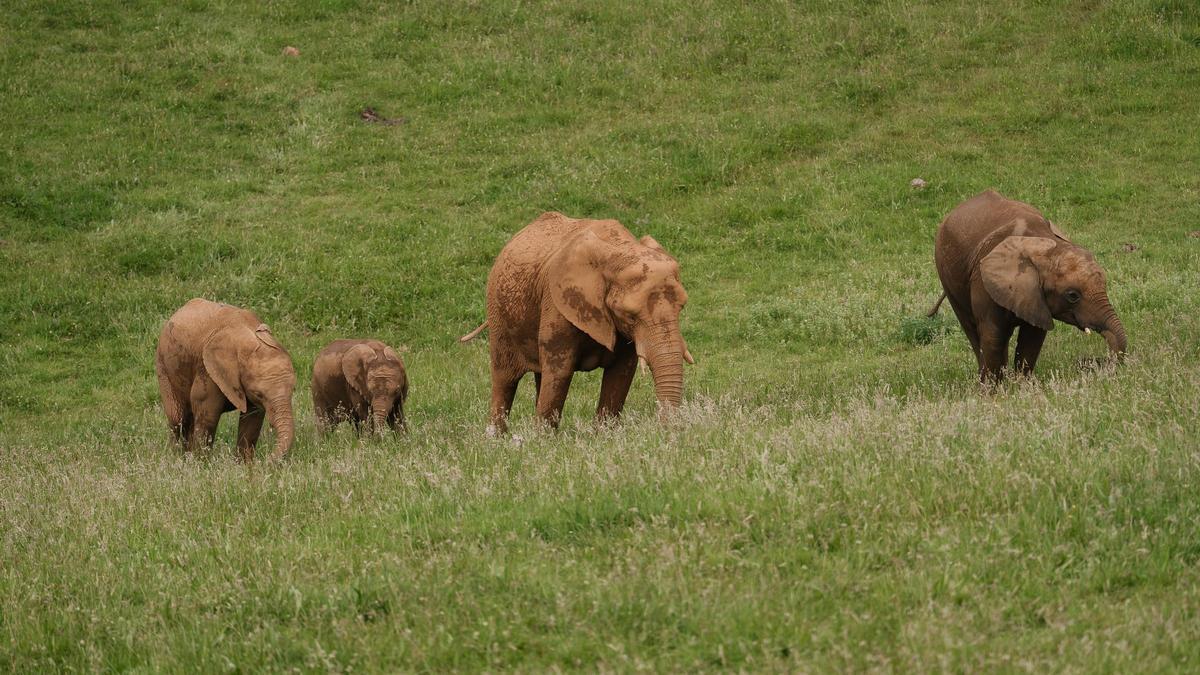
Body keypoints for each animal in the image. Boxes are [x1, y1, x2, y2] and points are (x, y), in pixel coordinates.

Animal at [154, 296, 297, 458]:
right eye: (259, 394)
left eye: (292, 390)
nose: (267, 457)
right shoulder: (208, 370)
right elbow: (208, 417)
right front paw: (201, 462)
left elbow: (252, 420)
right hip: (164, 364)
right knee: (178, 419)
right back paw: (178, 458)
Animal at [460, 210, 700, 429]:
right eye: (630, 315)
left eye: (681, 307)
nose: (665, 427)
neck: (617, 249)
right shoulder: (557, 302)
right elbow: (560, 370)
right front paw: (543, 441)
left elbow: (621, 372)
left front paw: (604, 435)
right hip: (498, 313)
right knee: (505, 379)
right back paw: (497, 438)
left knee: (540, 376)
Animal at [936, 189, 1123, 381]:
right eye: (1072, 296)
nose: (1087, 362)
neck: (1043, 247)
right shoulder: (983, 282)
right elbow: (993, 336)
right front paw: (993, 388)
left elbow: (1032, 338)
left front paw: (1022, 384)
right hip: (946, 275)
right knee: (972, 329)